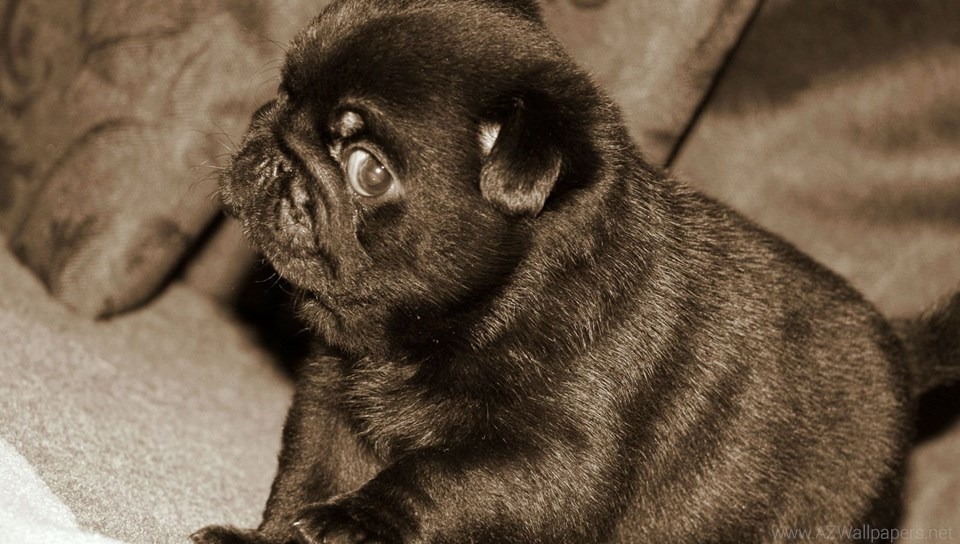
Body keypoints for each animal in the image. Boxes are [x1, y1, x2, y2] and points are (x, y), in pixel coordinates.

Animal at [192, 1, 960, 542]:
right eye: (284, 92)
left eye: (367, 171)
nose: (275, 149)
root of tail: (900, 350)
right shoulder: (333, 401)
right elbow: (307, 473)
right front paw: (264, 538)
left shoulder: (551, 460)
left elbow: (433, 475)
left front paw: (352, 519)